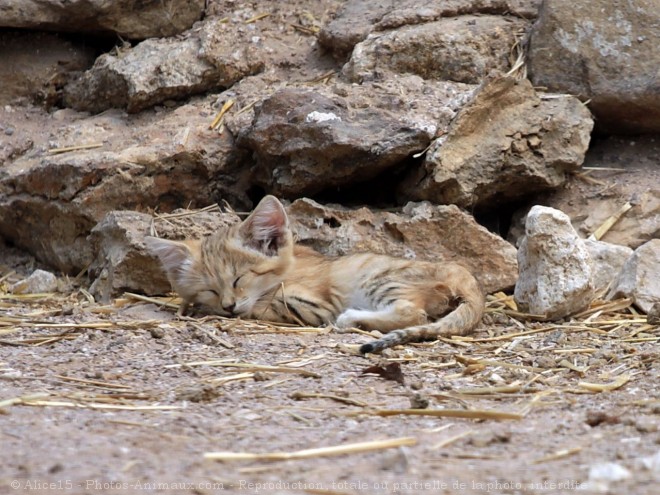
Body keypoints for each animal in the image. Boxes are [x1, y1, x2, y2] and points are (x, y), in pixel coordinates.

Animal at [146, 196, 484, 354]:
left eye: (239, 279)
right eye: (211, 290)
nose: (228, 306)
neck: (291, 267)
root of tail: (464, 276)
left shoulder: (308, 305)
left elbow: (258, 308)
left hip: (380, 280)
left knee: (412, 313)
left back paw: (351, 318)